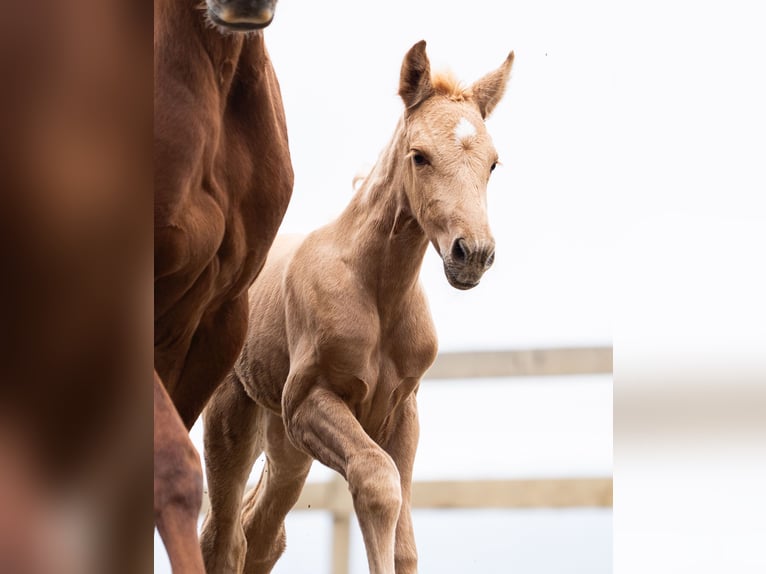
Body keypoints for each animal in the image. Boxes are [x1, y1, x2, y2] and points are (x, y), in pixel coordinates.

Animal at [200, 40, 514, 574]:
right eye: (419, 156)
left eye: (493, 163)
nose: (472, 254)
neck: (378, 293)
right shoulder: (310, 401)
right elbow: (378, 482)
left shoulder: (401, 411)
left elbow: (405, 542)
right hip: (233, 419)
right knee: (223, 538)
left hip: (284, 444)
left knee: (261, 534)